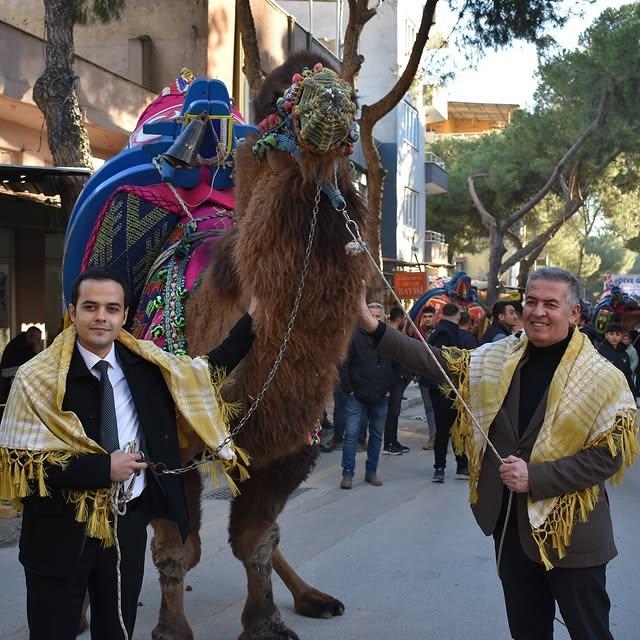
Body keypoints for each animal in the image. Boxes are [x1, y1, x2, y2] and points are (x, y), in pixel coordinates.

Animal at [149, 51, 370, 640]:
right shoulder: (167, 441)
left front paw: (266, 620)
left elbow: (257, 541)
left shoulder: (289, 449)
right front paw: (171, 629)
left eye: (353, 93)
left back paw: (314, 597)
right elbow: (177, 548)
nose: (332, 102)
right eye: (280, 101)